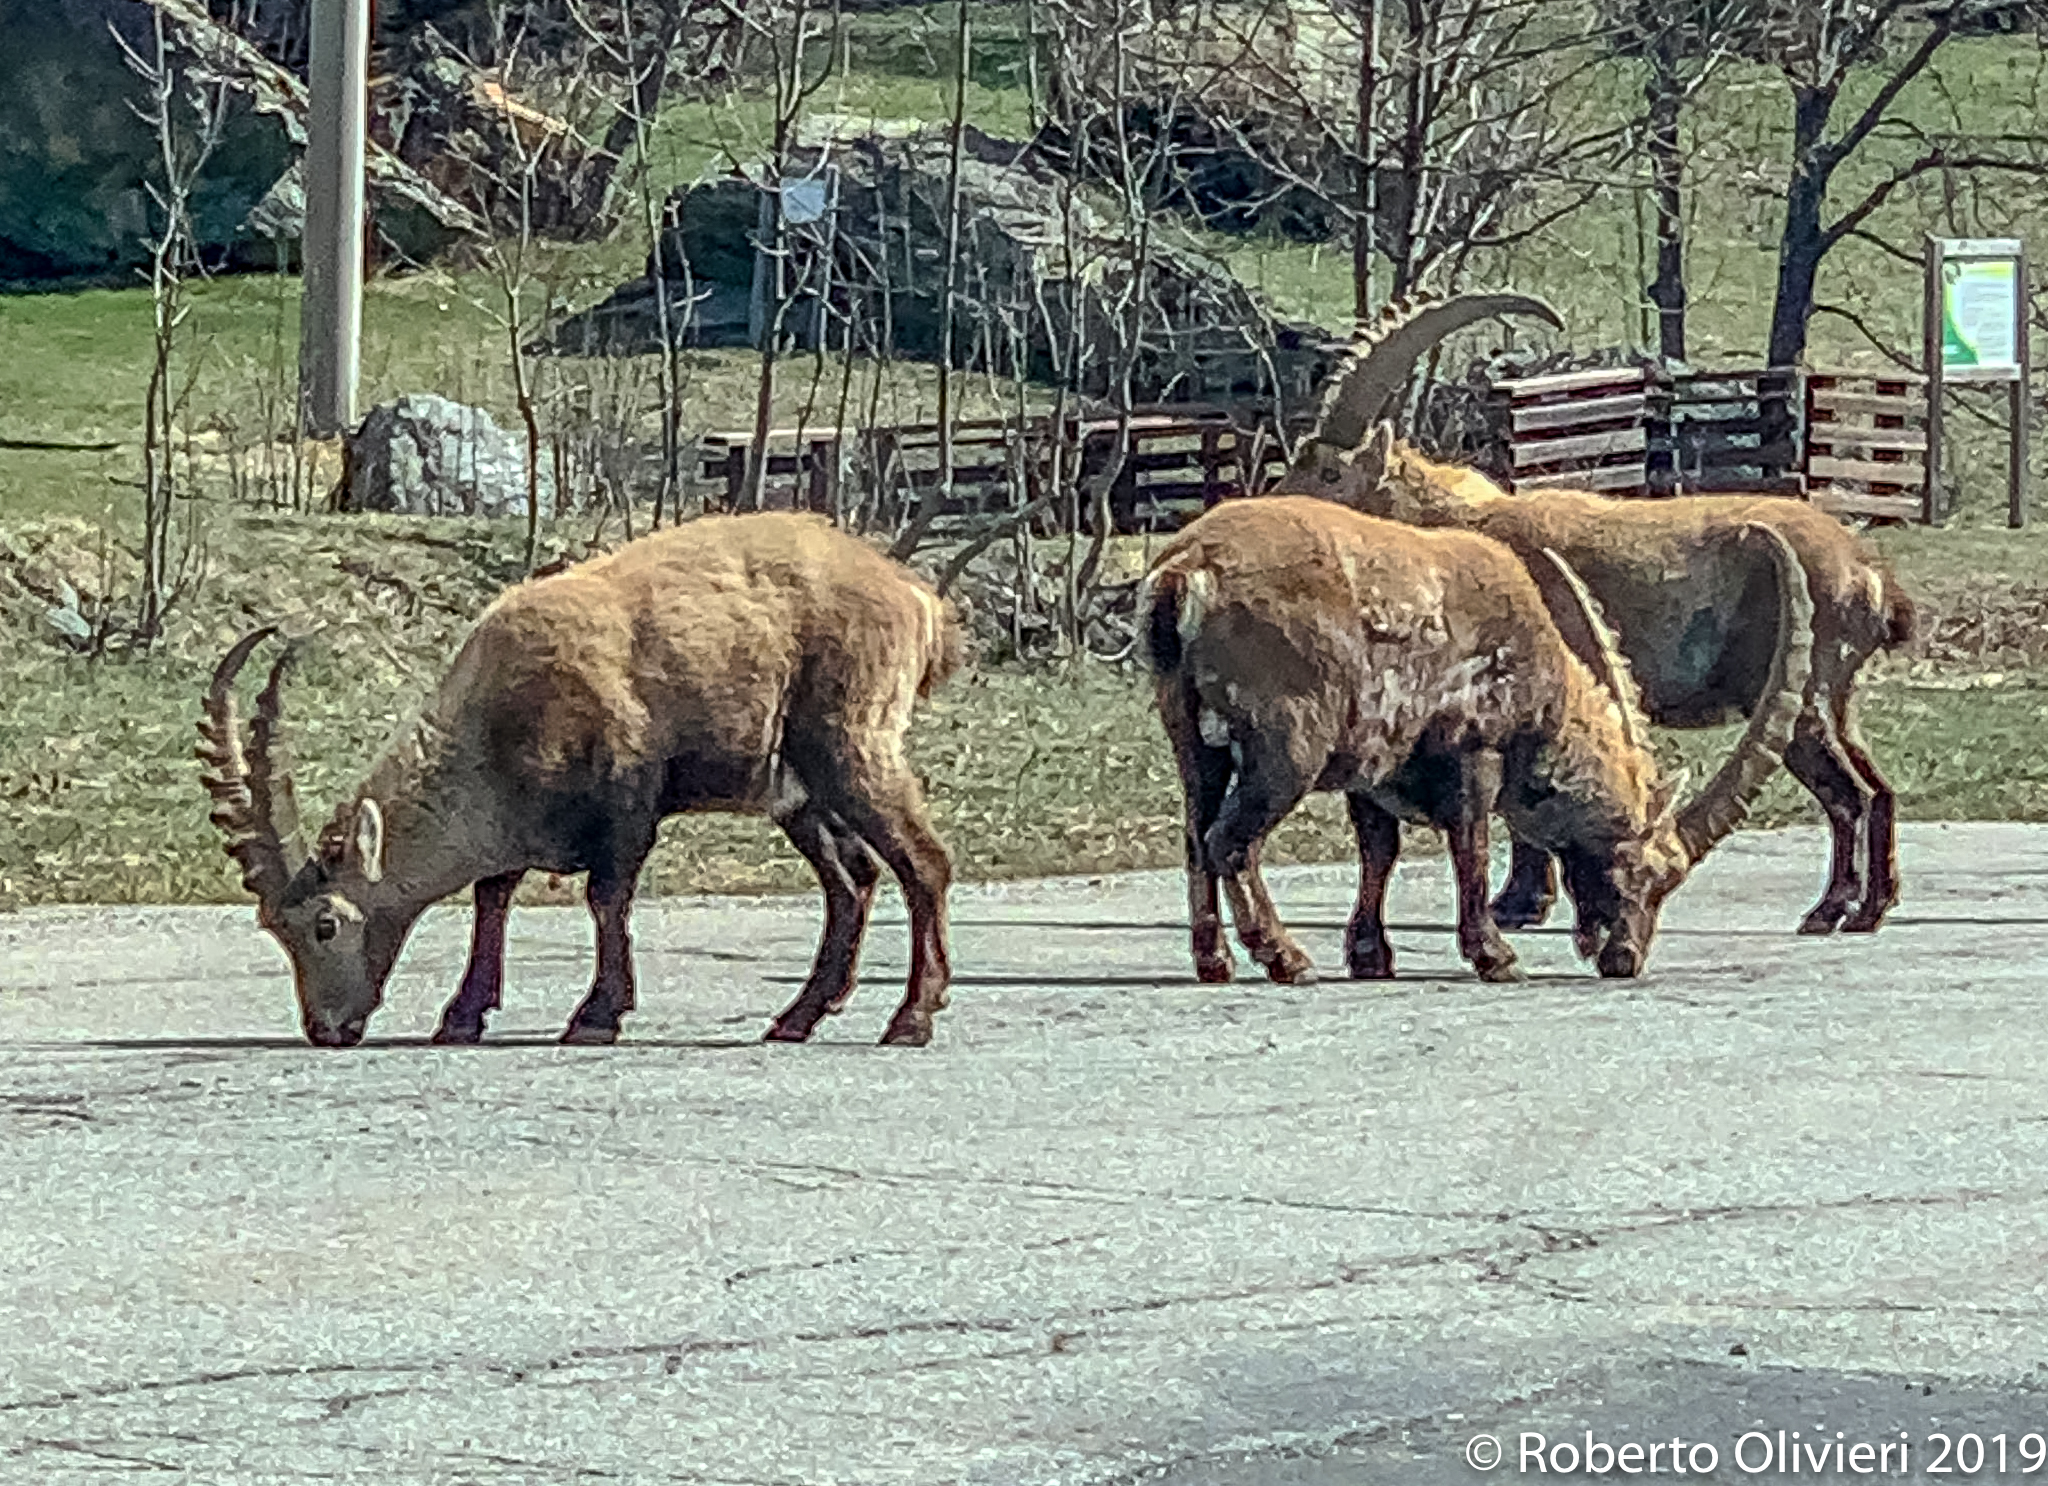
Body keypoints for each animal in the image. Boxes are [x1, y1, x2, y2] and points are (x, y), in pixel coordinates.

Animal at [197, 512, 962, 1049]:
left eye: (326, 923)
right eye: (274, 926)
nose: (326, 1028)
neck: (496, 725)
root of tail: (915, 598)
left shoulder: (629, 798)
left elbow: (605, 898)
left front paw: (597, 1014)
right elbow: (492, 895)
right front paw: (463, 1014)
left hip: (852, 745)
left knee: (923, 864)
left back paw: (911, 1018)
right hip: (795, 790)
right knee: (852, 880)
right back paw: (798, 1017)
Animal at [1142, 496, 1811, 984]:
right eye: (1647, 874)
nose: (1626, 959)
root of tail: (1187, 571)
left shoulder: (1370, 769)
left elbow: (1379, 852)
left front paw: (1371, 955)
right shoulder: (1474, 750)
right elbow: (1472, 847)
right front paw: (1495, 954)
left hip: (1192, 735)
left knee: (1197, 836)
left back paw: (1214, 961)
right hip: (1286, 748)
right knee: (1231, 840)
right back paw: (1283, 957)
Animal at [1272, 293, 1917, 936]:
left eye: (1329, 472)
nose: (1272, 511)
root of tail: (1871, 577)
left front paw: (1517, 905)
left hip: (1802, 698)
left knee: (1849, 796)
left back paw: (1831, 910)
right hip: (1835, 699)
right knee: (1878, 788)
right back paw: (1871, 907)